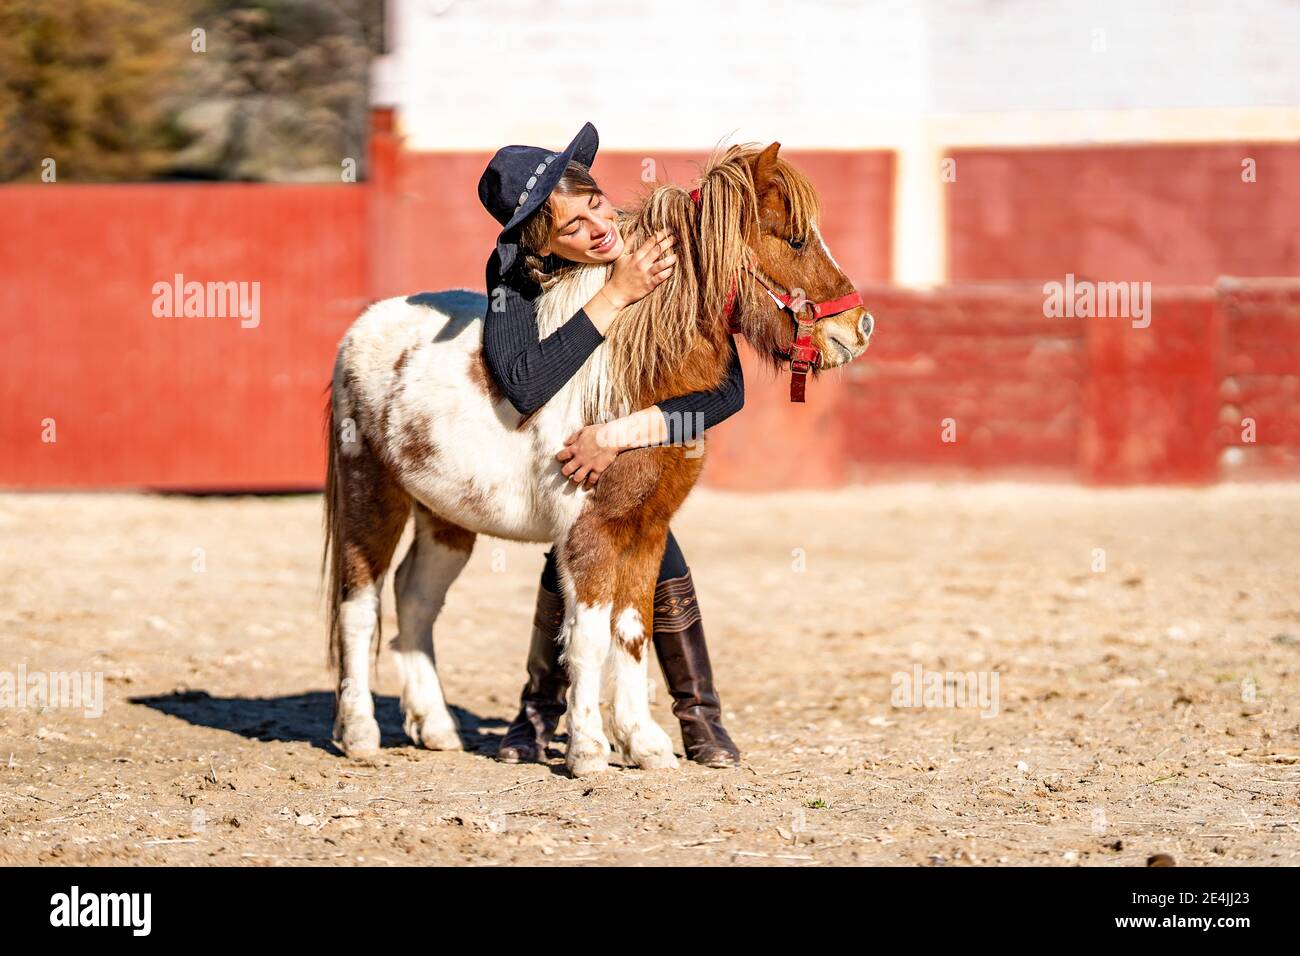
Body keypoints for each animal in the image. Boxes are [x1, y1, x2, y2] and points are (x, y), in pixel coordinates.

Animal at [323, 143, 873, 780]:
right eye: (795, 239)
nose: (860, 327)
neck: (630, 384)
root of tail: (362, 328)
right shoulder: (591, 533)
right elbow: (586, 634)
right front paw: (589, 750)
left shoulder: (646, 531)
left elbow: (631, 633)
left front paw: (644, 744)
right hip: (371, 501)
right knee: (359, 605)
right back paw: (359, 733)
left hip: (445, 519)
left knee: (415, 598)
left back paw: (436, 729)